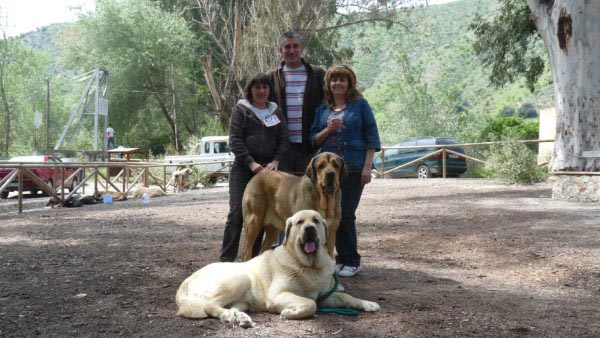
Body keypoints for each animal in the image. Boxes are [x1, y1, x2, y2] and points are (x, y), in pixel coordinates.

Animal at [175, 210, 380, 328]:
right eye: (300, 222)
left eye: (316, 221)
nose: (309, 229)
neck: (308, 265)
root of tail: (186, 282)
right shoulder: (278, 295)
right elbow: (310, 304)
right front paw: (291, 313)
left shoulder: (325, 296)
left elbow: (347, 297)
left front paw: (367, 304)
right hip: (240, 278)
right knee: (210, 305)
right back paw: (229, 316)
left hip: (242, 298)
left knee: (225, 307)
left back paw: (237, 317)